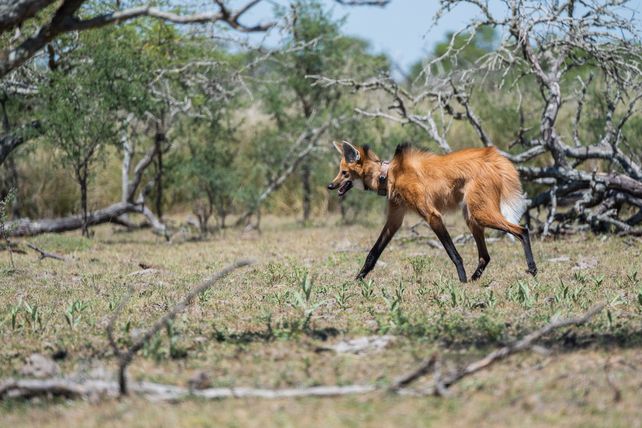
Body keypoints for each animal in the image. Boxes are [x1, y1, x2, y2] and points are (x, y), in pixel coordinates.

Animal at [324, 140, 536, 284]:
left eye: (344, 173)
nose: (330, 186)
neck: (389, 175)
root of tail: (495, 156)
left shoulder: (432, 215)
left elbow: (453, 253)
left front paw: (461, 280)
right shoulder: (395, 219)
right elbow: (373, 253)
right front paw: (358, 278)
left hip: (480, 213)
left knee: (522, 230)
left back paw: (532, 269)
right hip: (471, 216)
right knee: (485, 256)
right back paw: (475, 279)